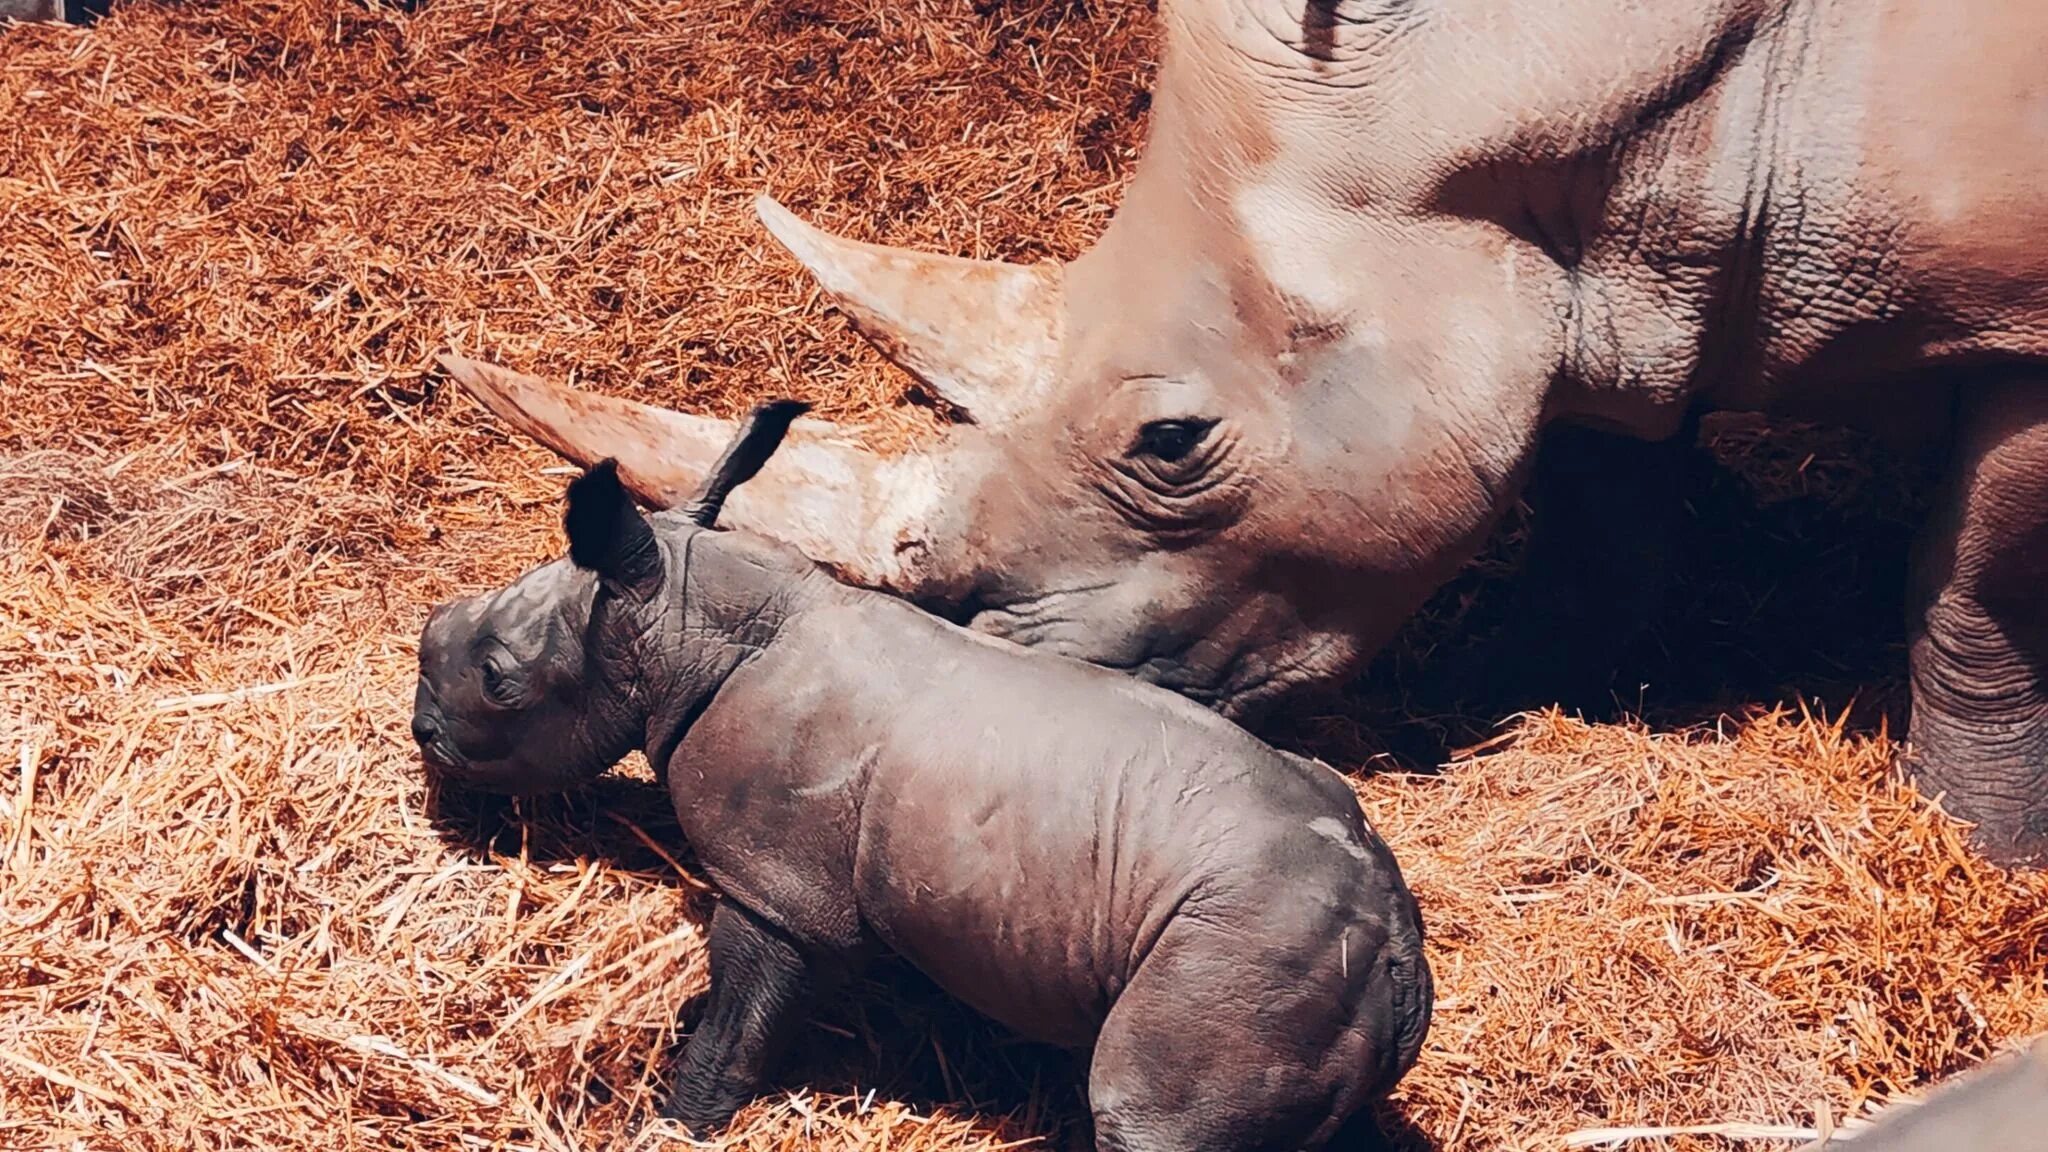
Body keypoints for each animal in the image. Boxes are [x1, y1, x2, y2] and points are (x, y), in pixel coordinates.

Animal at [407, 401, 1433, 1139]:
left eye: (496, 679)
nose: (422, 732)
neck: (681, 620)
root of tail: (1392, 939)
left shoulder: (776, 886)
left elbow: (738, 1026)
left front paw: (672, 1122)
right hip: (1300, 959)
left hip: (1243, 954)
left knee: (1155, 1116)